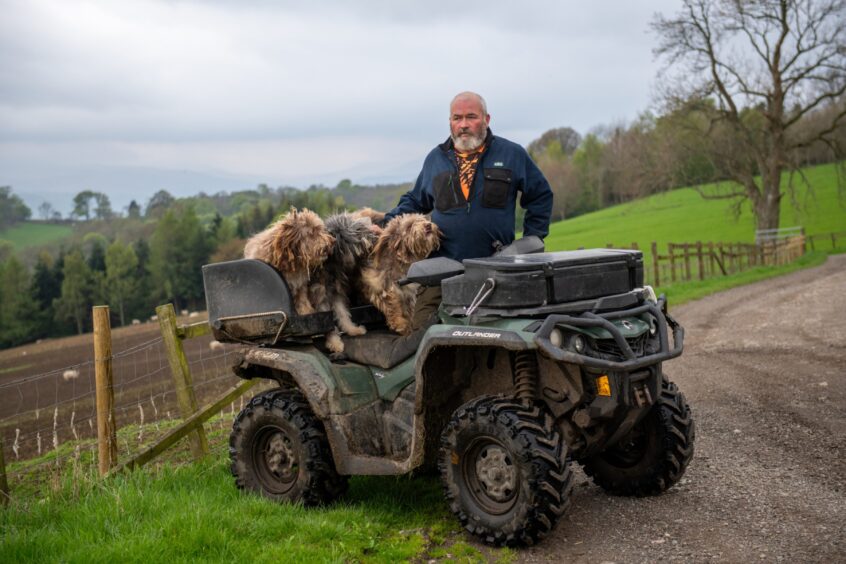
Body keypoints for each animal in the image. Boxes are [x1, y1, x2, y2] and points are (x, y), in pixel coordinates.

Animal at [310, 212, 380, 352]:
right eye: (357, 232)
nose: (375, 236)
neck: (330, 265)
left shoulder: (335, 293)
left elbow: (343, 314)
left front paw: (353, 330)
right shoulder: (321, 297)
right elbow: (326, 322)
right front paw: (334, 343)